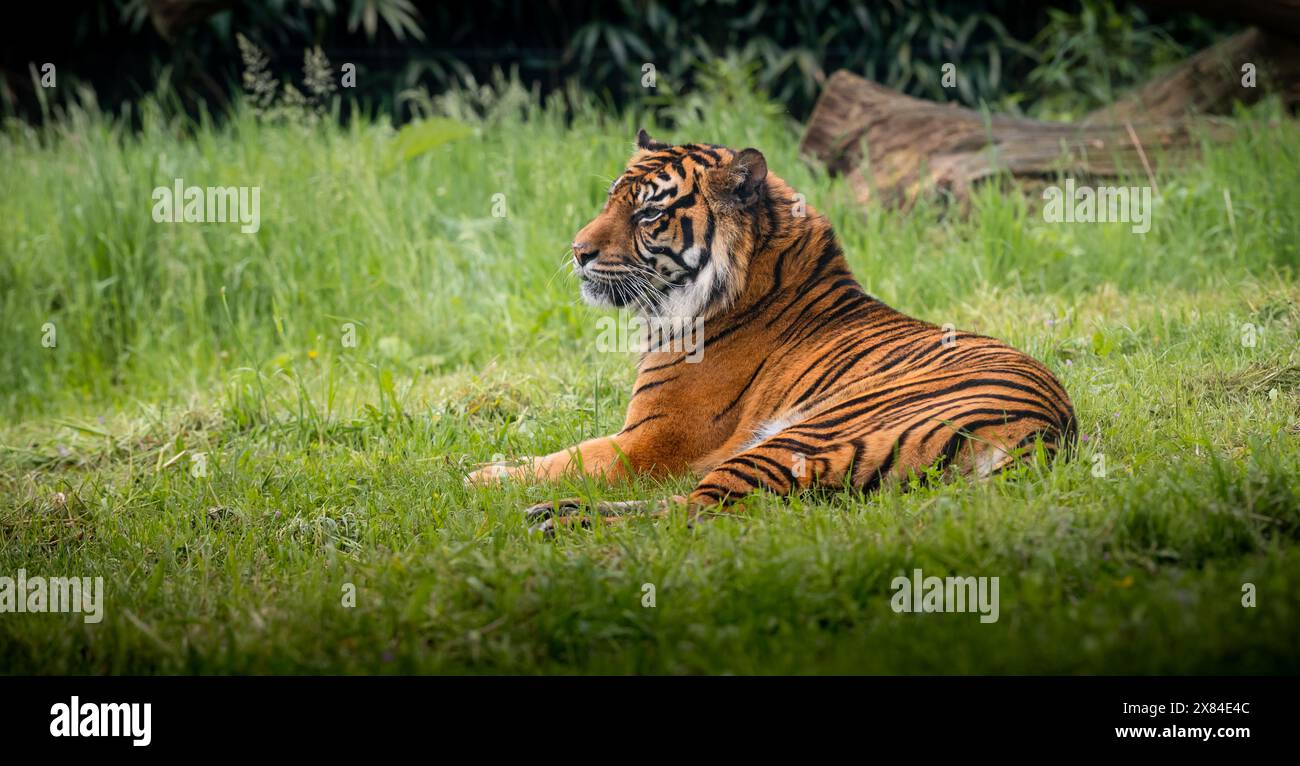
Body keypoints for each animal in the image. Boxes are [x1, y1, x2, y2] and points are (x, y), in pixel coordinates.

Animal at [467, 129, 1077, 533]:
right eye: (610, 200)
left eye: (648, 215)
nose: (577, 252)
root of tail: (1046, 431)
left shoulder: (650, 441)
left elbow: (564, 459)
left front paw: (478, 476)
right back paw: (552, 513)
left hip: (806, 434)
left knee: (694, 515)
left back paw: (558, 519)